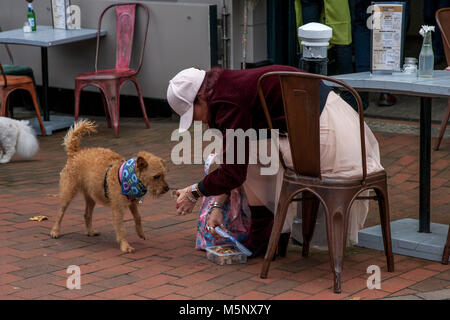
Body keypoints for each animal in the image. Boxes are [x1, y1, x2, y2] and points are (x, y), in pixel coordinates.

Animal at [49, 120, 169, 252]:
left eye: (164, 174)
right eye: (156, 176)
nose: (167, 189)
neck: (129, 177)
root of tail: (75, 153)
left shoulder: (132, 204)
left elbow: (138, 217)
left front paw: (140, 233)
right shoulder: (117, 209)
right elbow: (121, 228)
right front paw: (125, 246)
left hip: (91, 197)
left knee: (87, 214)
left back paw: (90, 231)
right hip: (68, 193)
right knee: (60, 213)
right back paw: (55, 231)